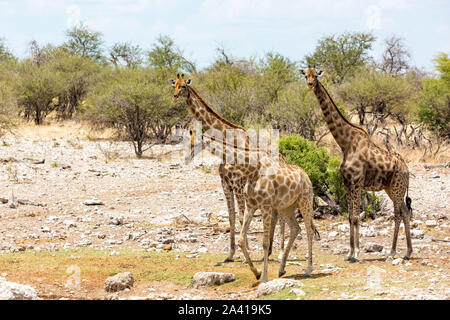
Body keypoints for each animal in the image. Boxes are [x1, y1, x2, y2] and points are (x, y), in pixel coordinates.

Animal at [171, 74, 286, 262]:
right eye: (174, 85)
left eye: (183, 87)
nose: (174, 97)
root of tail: (284, 158)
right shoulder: (226, 185)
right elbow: (231, 217)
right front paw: (231, 254)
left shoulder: (238, 185)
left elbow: (240, 216)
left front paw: (247, 251)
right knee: (276, 214)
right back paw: (268, 252)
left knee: (281, 215)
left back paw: (281, 252)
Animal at [300, 66, 414, 262]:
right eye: (305, 75)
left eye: (316, 75)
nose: (310, 84)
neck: (345, 143)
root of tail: (406, 169)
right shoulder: (346, 181)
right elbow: (349, 217)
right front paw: (349, 253)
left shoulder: (357, 181)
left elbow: (355, 217)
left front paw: (357, 253)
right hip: (390, 189)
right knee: (405, 213)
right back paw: (407, 252)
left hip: (397, 188)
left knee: (398, 214)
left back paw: (392, 252)